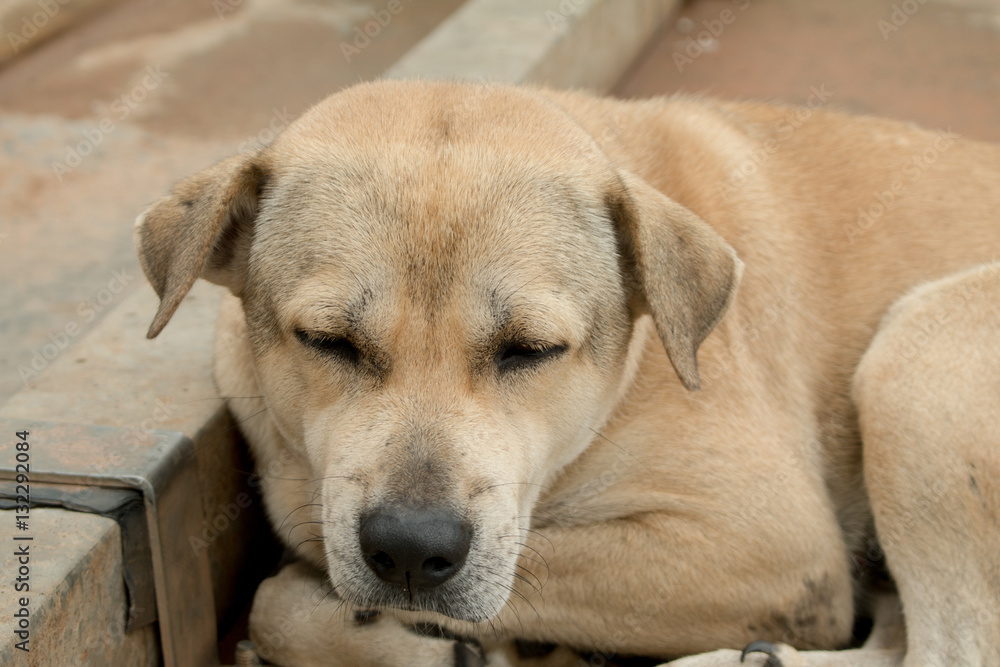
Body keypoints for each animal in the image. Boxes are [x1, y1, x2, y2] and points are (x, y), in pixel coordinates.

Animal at [135, 81, 1000, 664]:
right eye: (328, 340)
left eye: (530, 348)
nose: (411, 548)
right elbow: (291, 588)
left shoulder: (773, 545)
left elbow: (289, 595)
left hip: (917, 352)